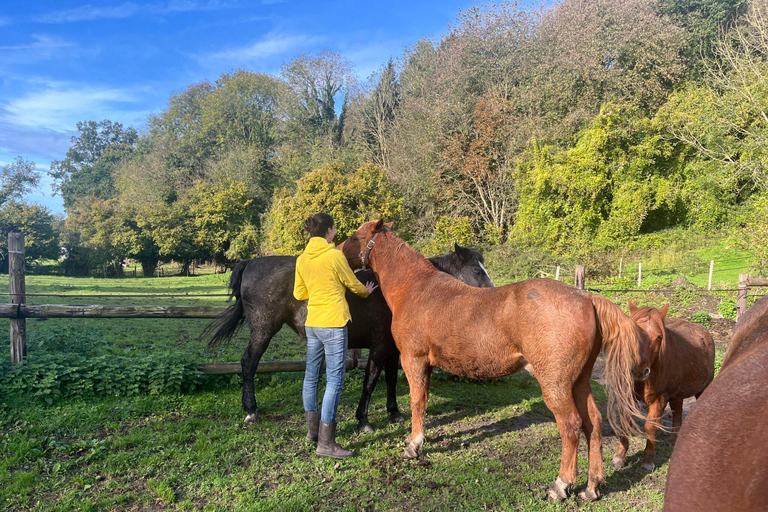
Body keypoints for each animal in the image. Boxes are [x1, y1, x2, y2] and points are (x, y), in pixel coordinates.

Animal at [206, 243, 493, 433]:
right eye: (477, 271)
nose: (494, 294)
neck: (404, 290)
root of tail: (251, 263)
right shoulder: (379, 347)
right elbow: (371, 381)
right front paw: (363, 420)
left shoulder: (393, 349)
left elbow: (390, 379)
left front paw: (394, 412)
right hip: (263, 330)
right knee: (248, 363)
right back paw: (251, 410)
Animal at [341, 220, 651, 502]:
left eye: (355, 236)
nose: (340, 249)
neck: (417, 288)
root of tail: (586, 298)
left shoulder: (412, 360)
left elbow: (417, 402)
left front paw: (413, 445)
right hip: (579, 382)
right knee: (593, 423)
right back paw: (592, 487)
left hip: (556, 386)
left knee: (571, 426)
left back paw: (561, 486)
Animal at [611, 303, 714, 472]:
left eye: (659, 337)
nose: (639, 370)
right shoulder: (627, 396)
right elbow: (625, 422)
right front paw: (620, 456)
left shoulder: (659, 399)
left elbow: (650, 427)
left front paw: (648, 460)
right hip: (677, 395)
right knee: (677, 412)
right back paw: (673, 439)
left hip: (702, 389)